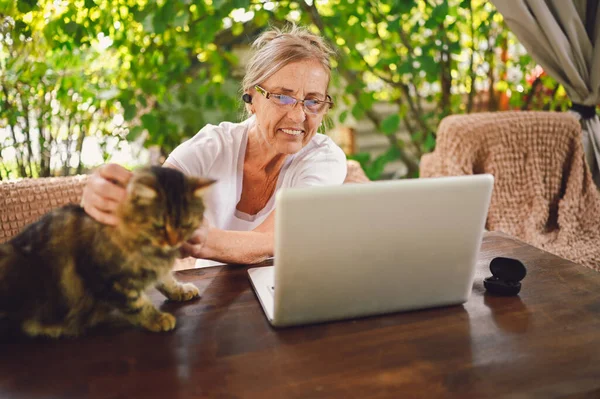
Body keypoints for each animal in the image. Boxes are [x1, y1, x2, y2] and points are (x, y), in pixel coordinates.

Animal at [0, 166, 214, 338]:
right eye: (159, 226)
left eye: (185, 225)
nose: (173, 241)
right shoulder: (107, 278)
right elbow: (136, 303)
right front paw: (156, 319)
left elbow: (167, 279)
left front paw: (180, 290)